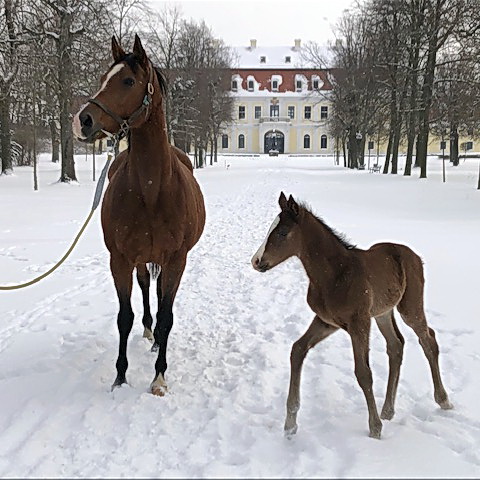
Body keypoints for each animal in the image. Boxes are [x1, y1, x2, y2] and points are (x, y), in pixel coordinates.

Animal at [72, 35, 204, 396]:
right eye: (103, 77)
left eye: (128, 81)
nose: (82, 120)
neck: (152, 190)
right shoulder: (119, 259)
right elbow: (124, 316)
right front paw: (120, 376)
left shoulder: (176, 259)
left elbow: (168, 315)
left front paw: (159, 376)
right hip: (141, 257)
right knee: (146, 286)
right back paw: (148, 330)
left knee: (157, 296)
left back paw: (157, 339)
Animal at [251, 192, 454, 438]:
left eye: (282, 232)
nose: (256, 261)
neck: (334, 275)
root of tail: (414, 255)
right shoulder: (327, 321)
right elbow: (298, 349)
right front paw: (290, 424)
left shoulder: (359, 323)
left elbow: (363, 373)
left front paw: (375, 429)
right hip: (383, 313)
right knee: (396, 345)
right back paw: (388, 410)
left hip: (410, 307)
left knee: (428, 339)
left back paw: (443, 400)